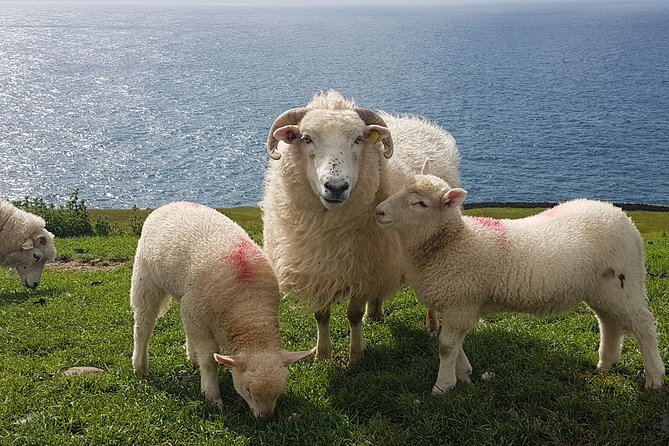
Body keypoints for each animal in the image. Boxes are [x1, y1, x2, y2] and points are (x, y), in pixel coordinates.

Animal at [130, 202, 314, 418]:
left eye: (280, 391)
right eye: (248, 390)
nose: (265, 418)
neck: (250, 311)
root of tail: (171, 204)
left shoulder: (195, 312)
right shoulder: (200, 316)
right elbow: (210, 359)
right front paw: (212, 396)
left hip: (186, 300)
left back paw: (191, 356)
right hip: (146, 279)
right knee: (143, 326)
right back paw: (140, 366)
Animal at [260, 89, 460, 362]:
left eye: (358, 139)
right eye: (306, 138)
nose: (335, 187)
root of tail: (418, 122)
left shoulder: (363, 269)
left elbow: (352, 316)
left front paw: (356, 355)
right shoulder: (322, 270)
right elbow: (321, 315)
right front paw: (322, 354)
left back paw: (432, 324)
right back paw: (374, 313)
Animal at [376, 166, 664, 396]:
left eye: (421, 204)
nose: (378, 212)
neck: (452, 243)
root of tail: (622, 217)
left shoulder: (462, 300)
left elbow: (446, 347)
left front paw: (442, 387)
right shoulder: (455, 302)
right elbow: (454, 345)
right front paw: (464, 374)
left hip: (624, 283)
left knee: (644, 325)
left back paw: (655, 378)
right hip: (601, 288)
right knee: (608, 322)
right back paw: (606, 364)